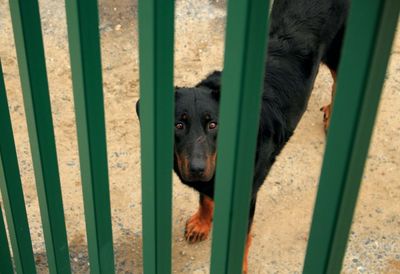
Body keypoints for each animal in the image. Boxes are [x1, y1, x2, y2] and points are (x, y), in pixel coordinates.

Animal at [136, 0, 348, 270]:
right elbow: (205, 198)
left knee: (338, 79)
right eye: (179, 125)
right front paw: (202, 223)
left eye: (213, 124)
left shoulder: (245, 197)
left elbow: (242, 238)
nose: (196, 169)